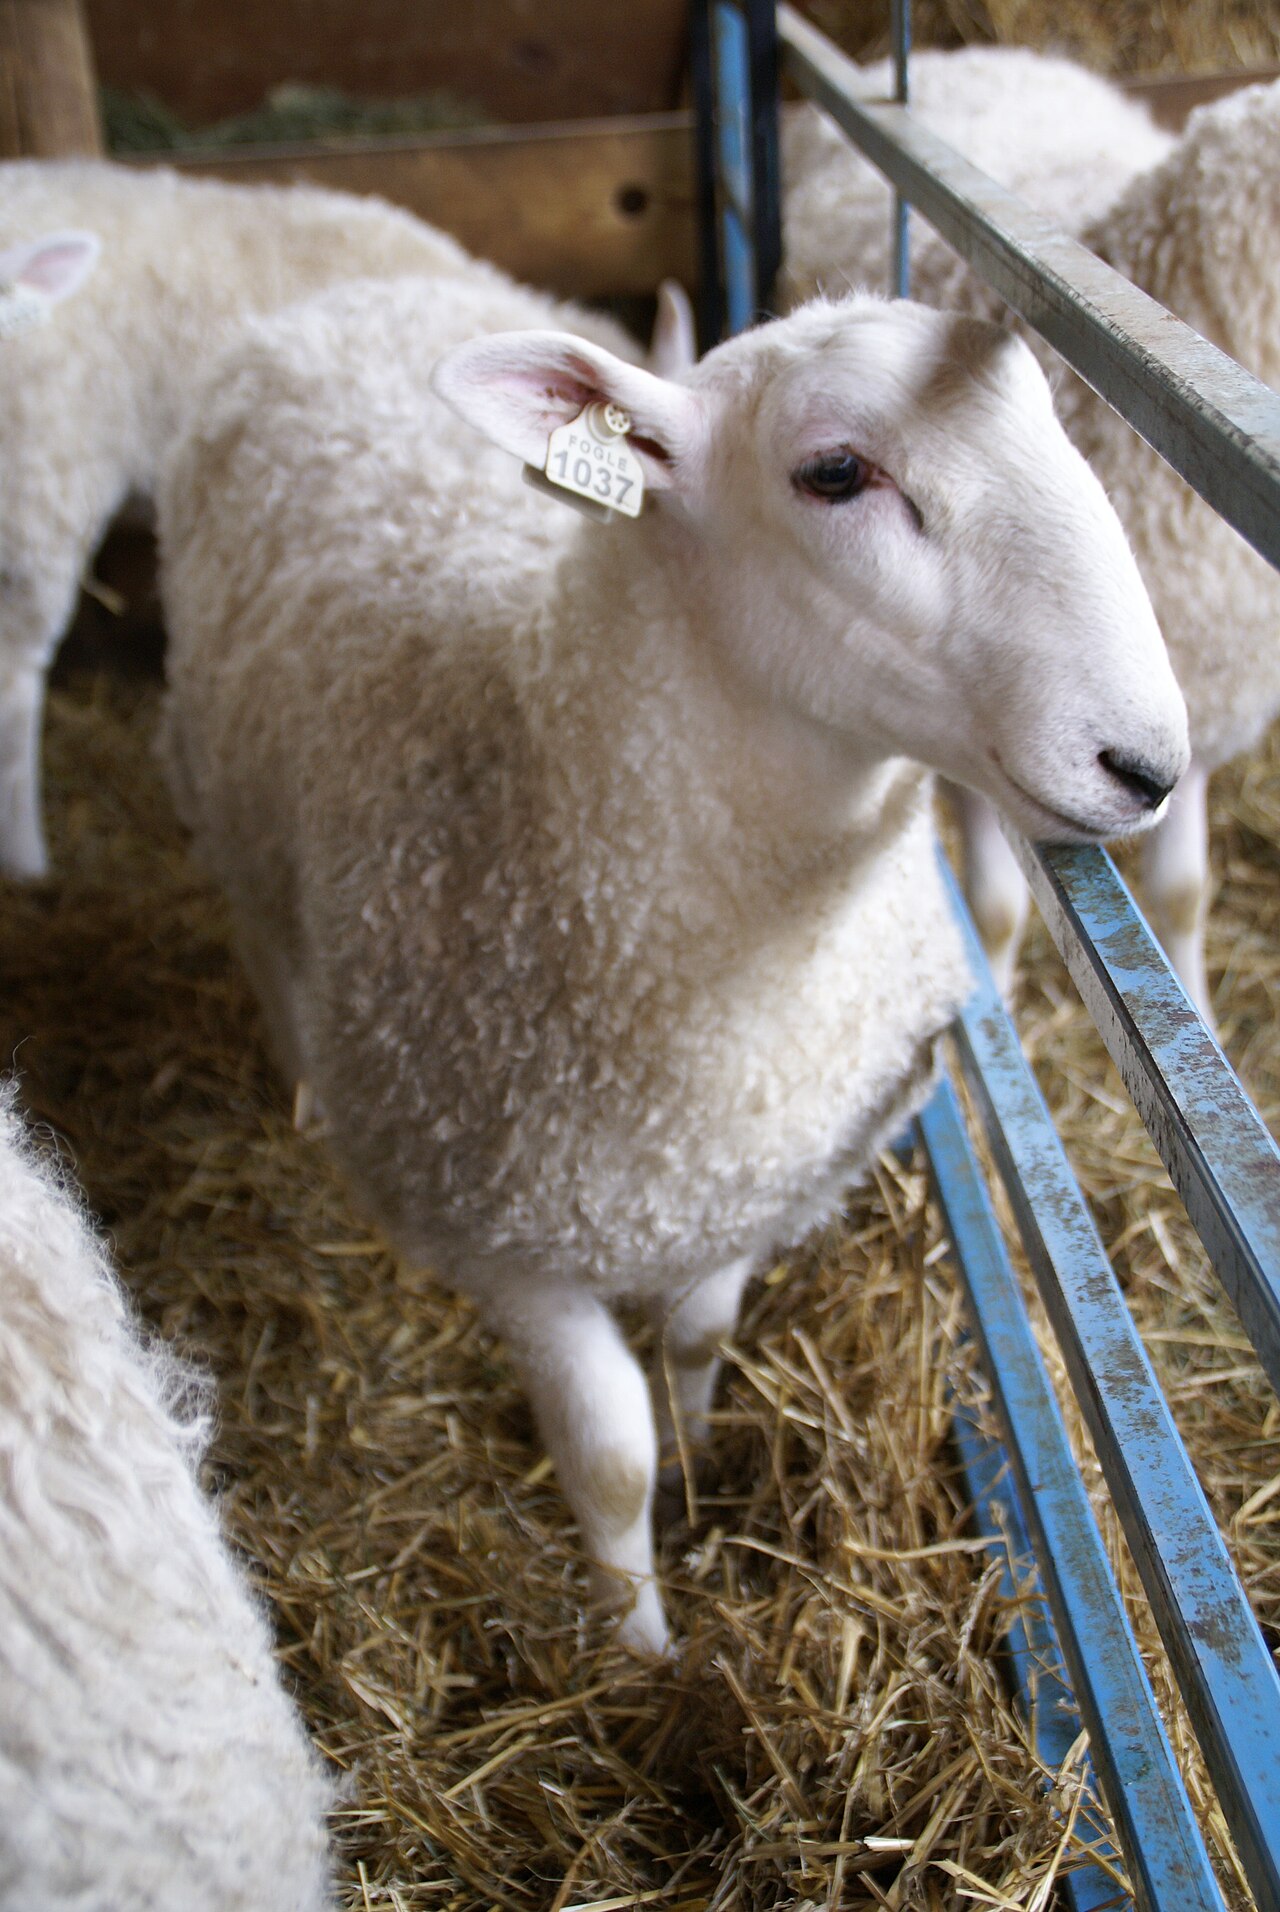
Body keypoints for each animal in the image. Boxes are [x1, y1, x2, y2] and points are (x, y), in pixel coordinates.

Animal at [156, 261, 1187, 1655]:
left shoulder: (749, 1174)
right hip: (229, 809)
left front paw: (704, 1454)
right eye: (833, 473)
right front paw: (640, 1651)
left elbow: (700, 1333)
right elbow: (606, 1459)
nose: (1145, 763)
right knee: (267, 943)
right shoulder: (507, 1243)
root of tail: (355, 291)